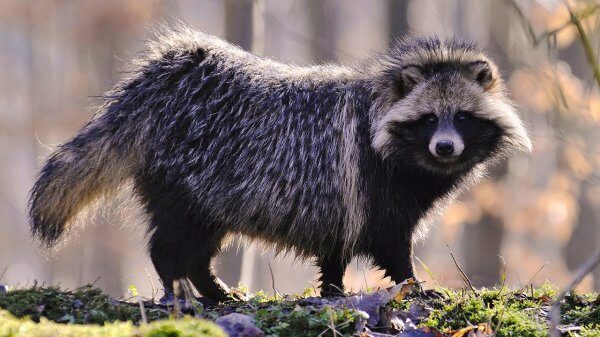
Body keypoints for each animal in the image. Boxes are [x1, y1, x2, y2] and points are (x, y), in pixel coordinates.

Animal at [30, 25, 532, 300]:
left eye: (462, 117)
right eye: (429, 119)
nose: (445, 148)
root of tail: (164, 80)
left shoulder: (341, 196)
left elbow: (335, 248)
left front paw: (332, 290)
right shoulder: (371, 184)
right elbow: (391, 243)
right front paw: (412, 284)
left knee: (196, 247)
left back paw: (209, 287)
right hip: (189, 178)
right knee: (173, 242)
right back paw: (182, 287)